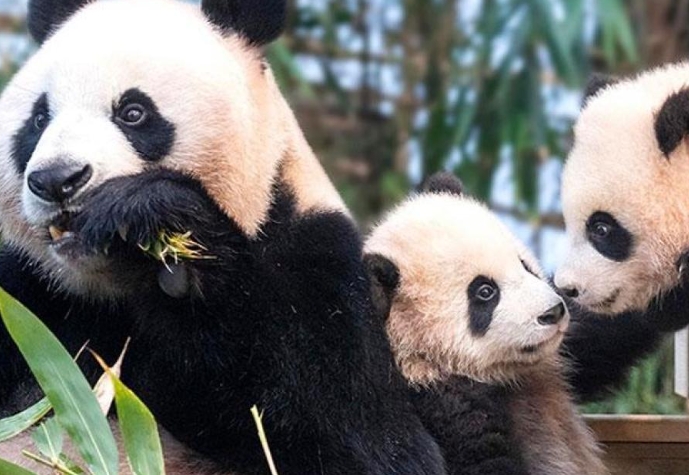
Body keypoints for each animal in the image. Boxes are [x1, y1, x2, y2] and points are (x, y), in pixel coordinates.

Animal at [0, 1, 445, 474]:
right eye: (39, 119)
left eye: (133, 112)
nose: (57, 179)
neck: (111, 286)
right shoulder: (26, 291)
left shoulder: (320, 262)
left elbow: (370, 441)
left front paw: (159, 227)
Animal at [364, 173, 689, 475]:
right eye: (485, 292)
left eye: (524, 264)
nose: (553, 312)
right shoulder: (443, 403)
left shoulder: (562, 355)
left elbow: (605, 330)